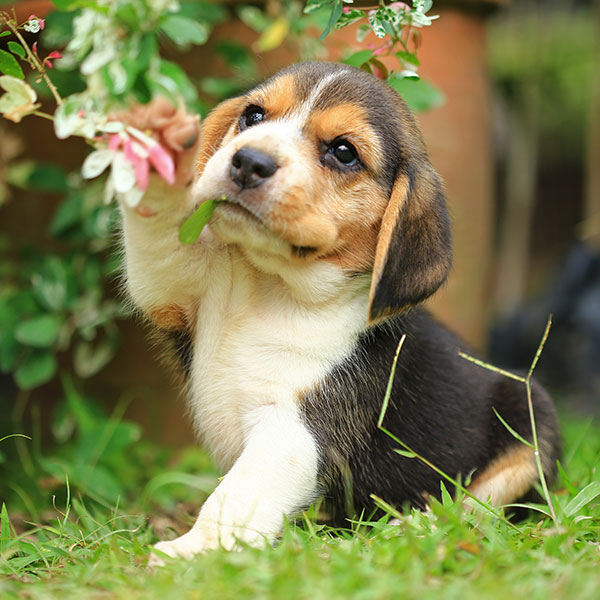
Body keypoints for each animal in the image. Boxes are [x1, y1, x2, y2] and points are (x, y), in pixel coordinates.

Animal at [118, 62, 564, 564]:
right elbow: (161, 244)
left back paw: (407, 529)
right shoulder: (180, 288)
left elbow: (237, 494)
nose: (249, 161)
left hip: (532, 423)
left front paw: (192, 550)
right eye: (253, 115)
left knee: (476, 508)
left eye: (344, 152)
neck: (275, 287)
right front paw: (159, 146)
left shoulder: (295, 433)